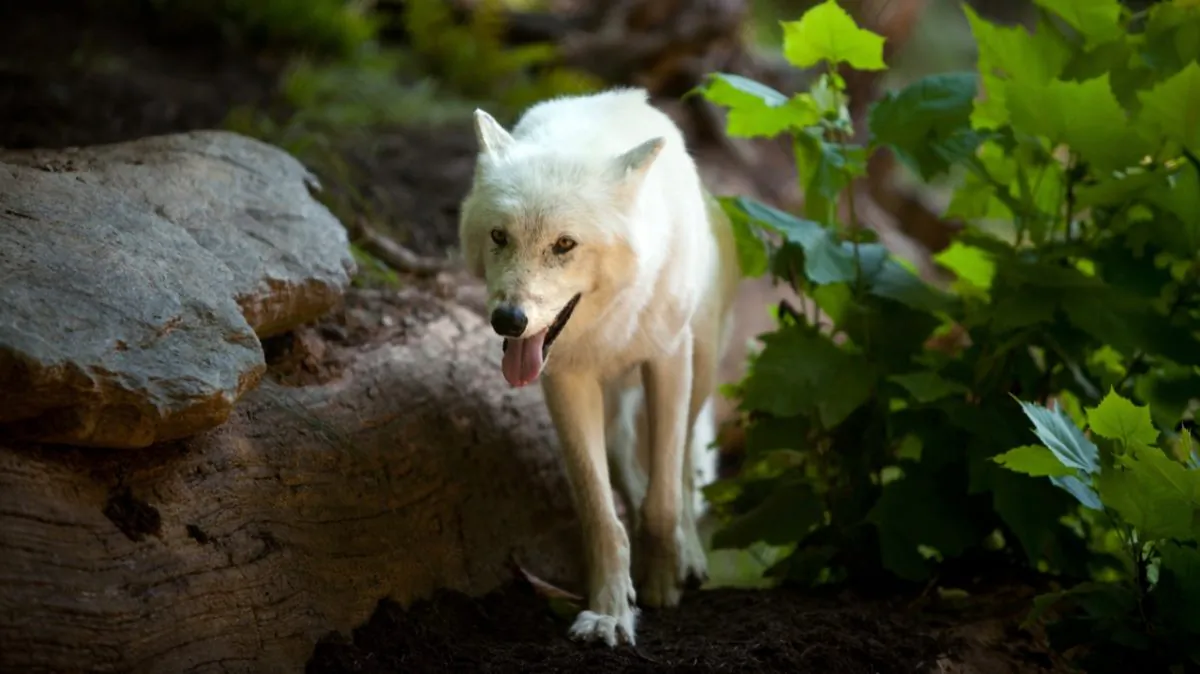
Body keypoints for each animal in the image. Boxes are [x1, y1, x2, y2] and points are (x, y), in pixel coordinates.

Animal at [458, 88, 739, 647]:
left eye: (564, 244)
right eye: (499, 236)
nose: (508, 320)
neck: (609, 321)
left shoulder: (668, 363)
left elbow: (664, 498)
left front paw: (661, 584)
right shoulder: (566, 382)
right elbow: (601, 514)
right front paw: (610, 612)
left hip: (698, 370)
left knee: (681, 471)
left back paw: (690, 557)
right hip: (612, 406)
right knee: (626, 460)